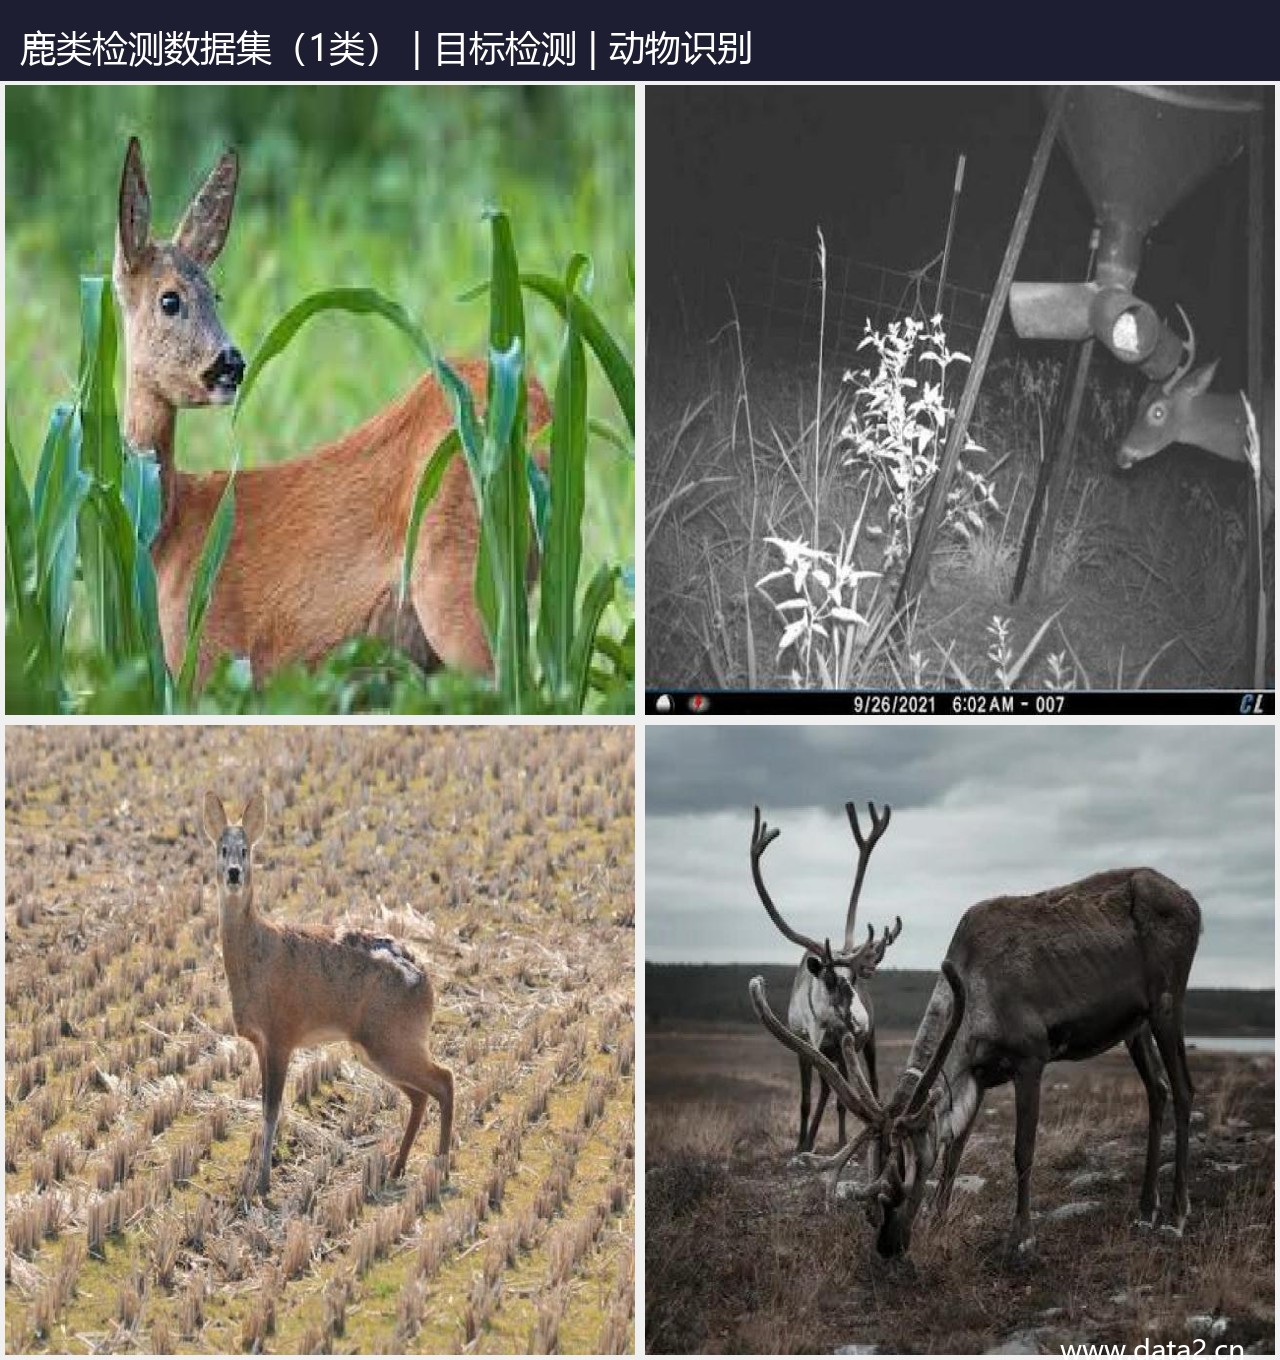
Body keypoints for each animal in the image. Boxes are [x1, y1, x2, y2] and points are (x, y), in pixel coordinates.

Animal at [113, 137, 550, 683]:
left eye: (215, 295)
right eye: (170, 300)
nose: (231, 363)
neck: (166, 535)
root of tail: (537, 405)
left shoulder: (206, 658)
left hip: (461, 584)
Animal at [203, 791, 453, 1195]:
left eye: (246, 850)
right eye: (221, 849)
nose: (234, 873)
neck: (257, 954)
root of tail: (426, 984)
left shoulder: (282, 1034)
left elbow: (272, 1109)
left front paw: (263, 1183)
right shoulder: (261, 1041)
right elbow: (264, 1106)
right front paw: (259, 1177)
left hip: (391, 1039)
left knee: (444, 1080)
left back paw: (441, 1165)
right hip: (378, 1046)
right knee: (420, 1093)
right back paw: (397, 1167)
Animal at [750, 804, 902, 1155]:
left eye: (856, 978)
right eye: (830, 978)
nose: (859, 1021)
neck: (821, 1022)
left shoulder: (842, 1045)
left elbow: (835, 1096)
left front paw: (820, 1143)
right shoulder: (806, 1046)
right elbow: (808, 1099)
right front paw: (802, 1144)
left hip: (867, 1045)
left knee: (867, 1084)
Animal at [750, 863, 1201, 1260]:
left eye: (904, 1177)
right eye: (870, 1202)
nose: (888, 1248)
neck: (976, 997)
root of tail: (1190, 899)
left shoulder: (1031, 1059)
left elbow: (1022, 1150)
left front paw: (1021, 1237)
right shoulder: (978, 1076)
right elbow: (956, 1148)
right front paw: (938, 1219)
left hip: (1167, 1003)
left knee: (1183, 1089)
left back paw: (1176, 1216)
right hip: (1135, 1024)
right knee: (1157, 1089)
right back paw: (1145, 1211)